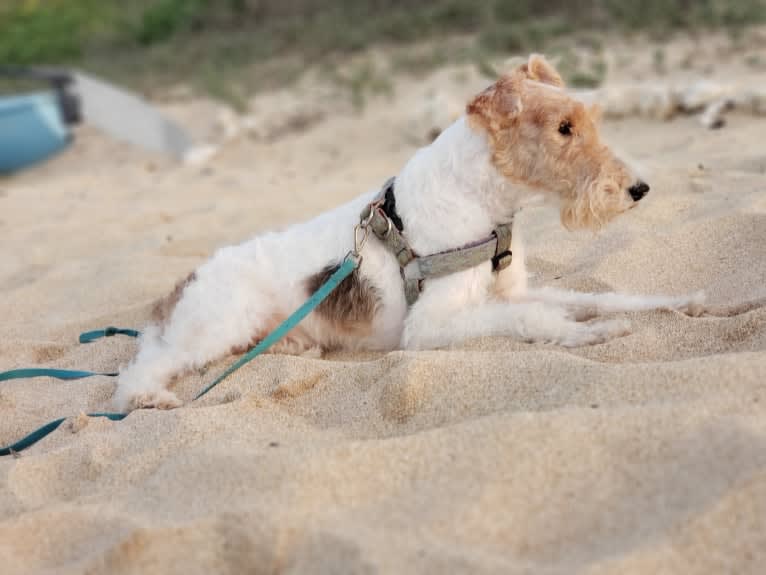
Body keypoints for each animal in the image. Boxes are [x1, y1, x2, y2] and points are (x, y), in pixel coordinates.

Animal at [111, 54, 704, 412]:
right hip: (214, 326)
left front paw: (680, 304)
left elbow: (597, 297)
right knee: (141, 368)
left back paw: (300, 347)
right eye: (563, 128)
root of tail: (184, 284)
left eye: (589, 119)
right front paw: (594, 335)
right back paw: (151, 400)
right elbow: (535, 319)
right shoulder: (430, 325)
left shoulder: (513, 290)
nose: (638, 189)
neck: (478, 200)